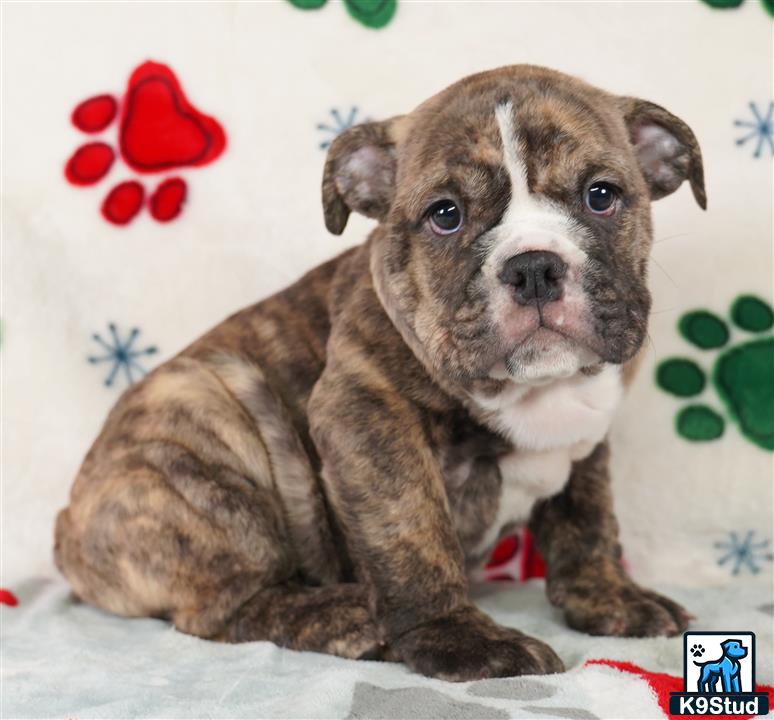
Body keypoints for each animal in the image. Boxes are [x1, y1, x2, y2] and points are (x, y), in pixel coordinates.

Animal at [54, 66, 708, 680]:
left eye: (601, 195)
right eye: (445, 215)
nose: (534, 268)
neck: (537, 391)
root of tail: (66, 533)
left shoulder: (590, 439)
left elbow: (587, 522)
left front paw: (612, 598)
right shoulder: (367, 418)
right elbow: (411, 533)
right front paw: (461, 640)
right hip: (203, 420)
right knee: (225, 606)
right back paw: (344, 617)